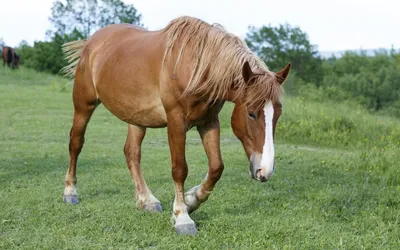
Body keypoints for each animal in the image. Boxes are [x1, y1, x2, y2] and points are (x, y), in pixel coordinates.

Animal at [61, 16, 290, 235]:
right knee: (76, 143)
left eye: (277, 115)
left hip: (137, 118)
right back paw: (70, 192)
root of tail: (91, 43)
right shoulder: (176, 121)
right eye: (251, 113)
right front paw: (182, 217)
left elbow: (216, 167)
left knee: (132, 153)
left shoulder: (208, 122)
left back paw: (146, 200)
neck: (196, 67)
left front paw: (191, 201)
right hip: (83, 105)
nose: (265, 171)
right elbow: (180, 169)